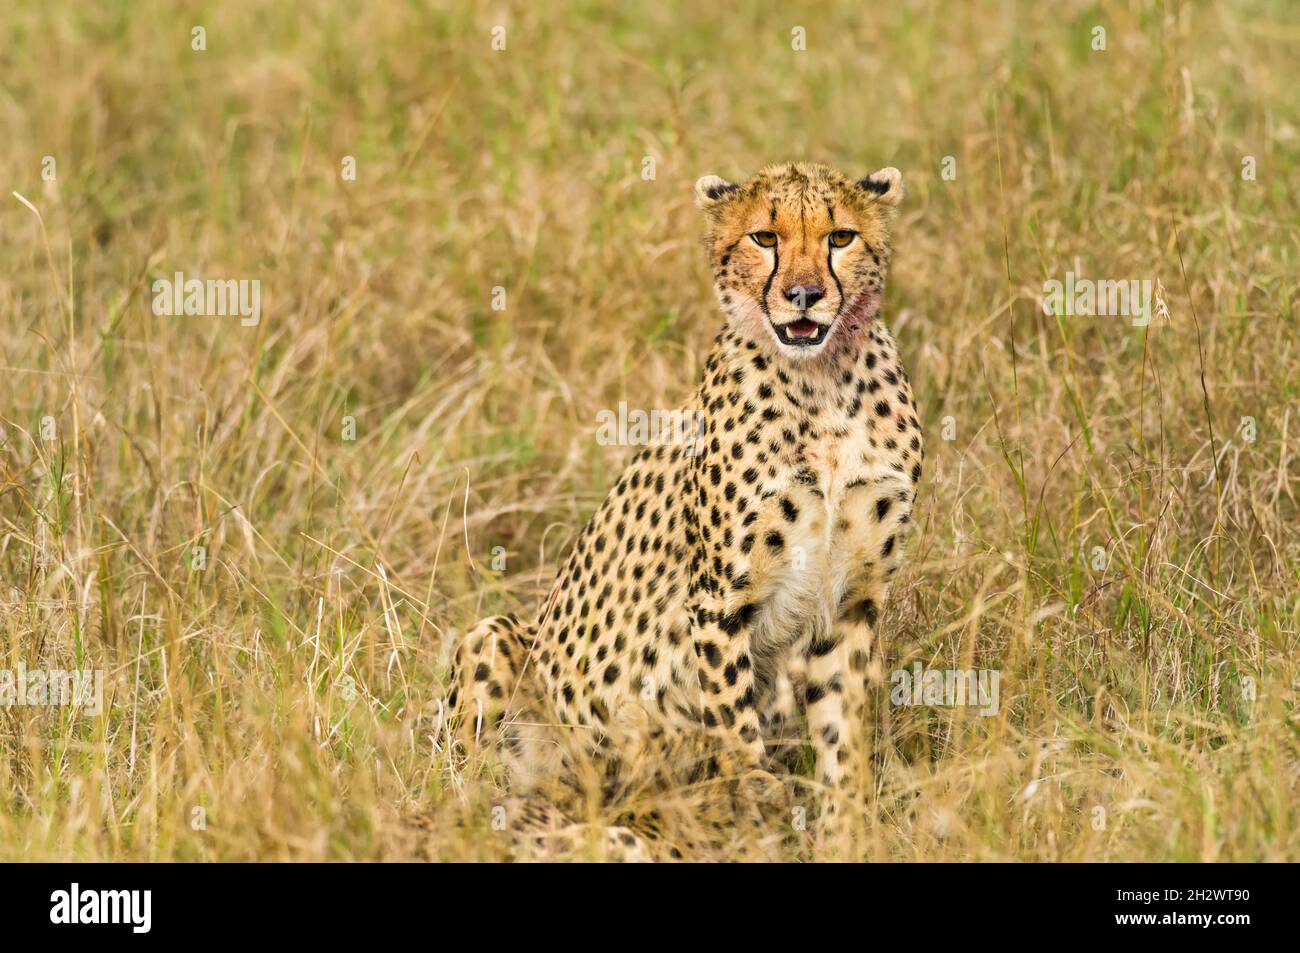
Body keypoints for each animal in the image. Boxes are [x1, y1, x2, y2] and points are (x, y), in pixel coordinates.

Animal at [452, 161, 920, 832]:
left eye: (840, 238)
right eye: (764, 238)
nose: (804, 295)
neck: (822, 385)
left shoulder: (853, 598)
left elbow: (842, 730)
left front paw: (846, 822)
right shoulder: (720, 597)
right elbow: (733, 719)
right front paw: (756, 798)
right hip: (493, 639)